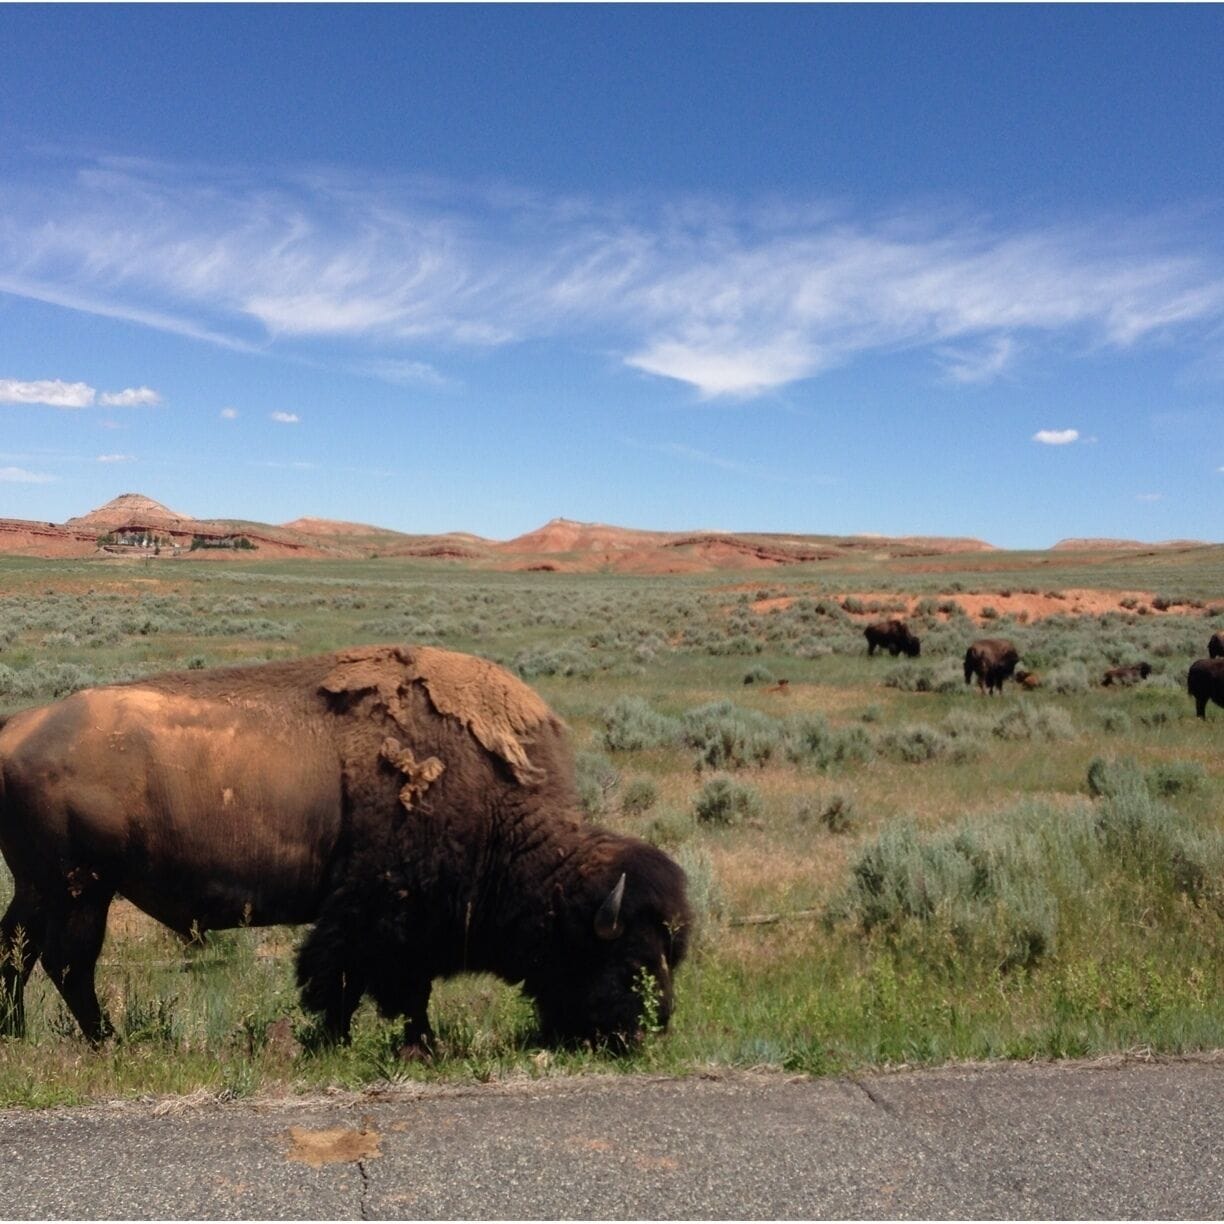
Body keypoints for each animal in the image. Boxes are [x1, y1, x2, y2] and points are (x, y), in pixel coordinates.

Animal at [0, 645, 690, 1050]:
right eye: (629, 957)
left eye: (671, 954)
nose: (652, 1031)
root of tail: (19, 726)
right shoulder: (380, 913)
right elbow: (361, 980)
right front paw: (383, 1044)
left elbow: (386, 984)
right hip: (81, 890)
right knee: (68, 965)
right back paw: (109, 1043)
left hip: (42, 890)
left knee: (18, 954)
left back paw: (18, 1035)